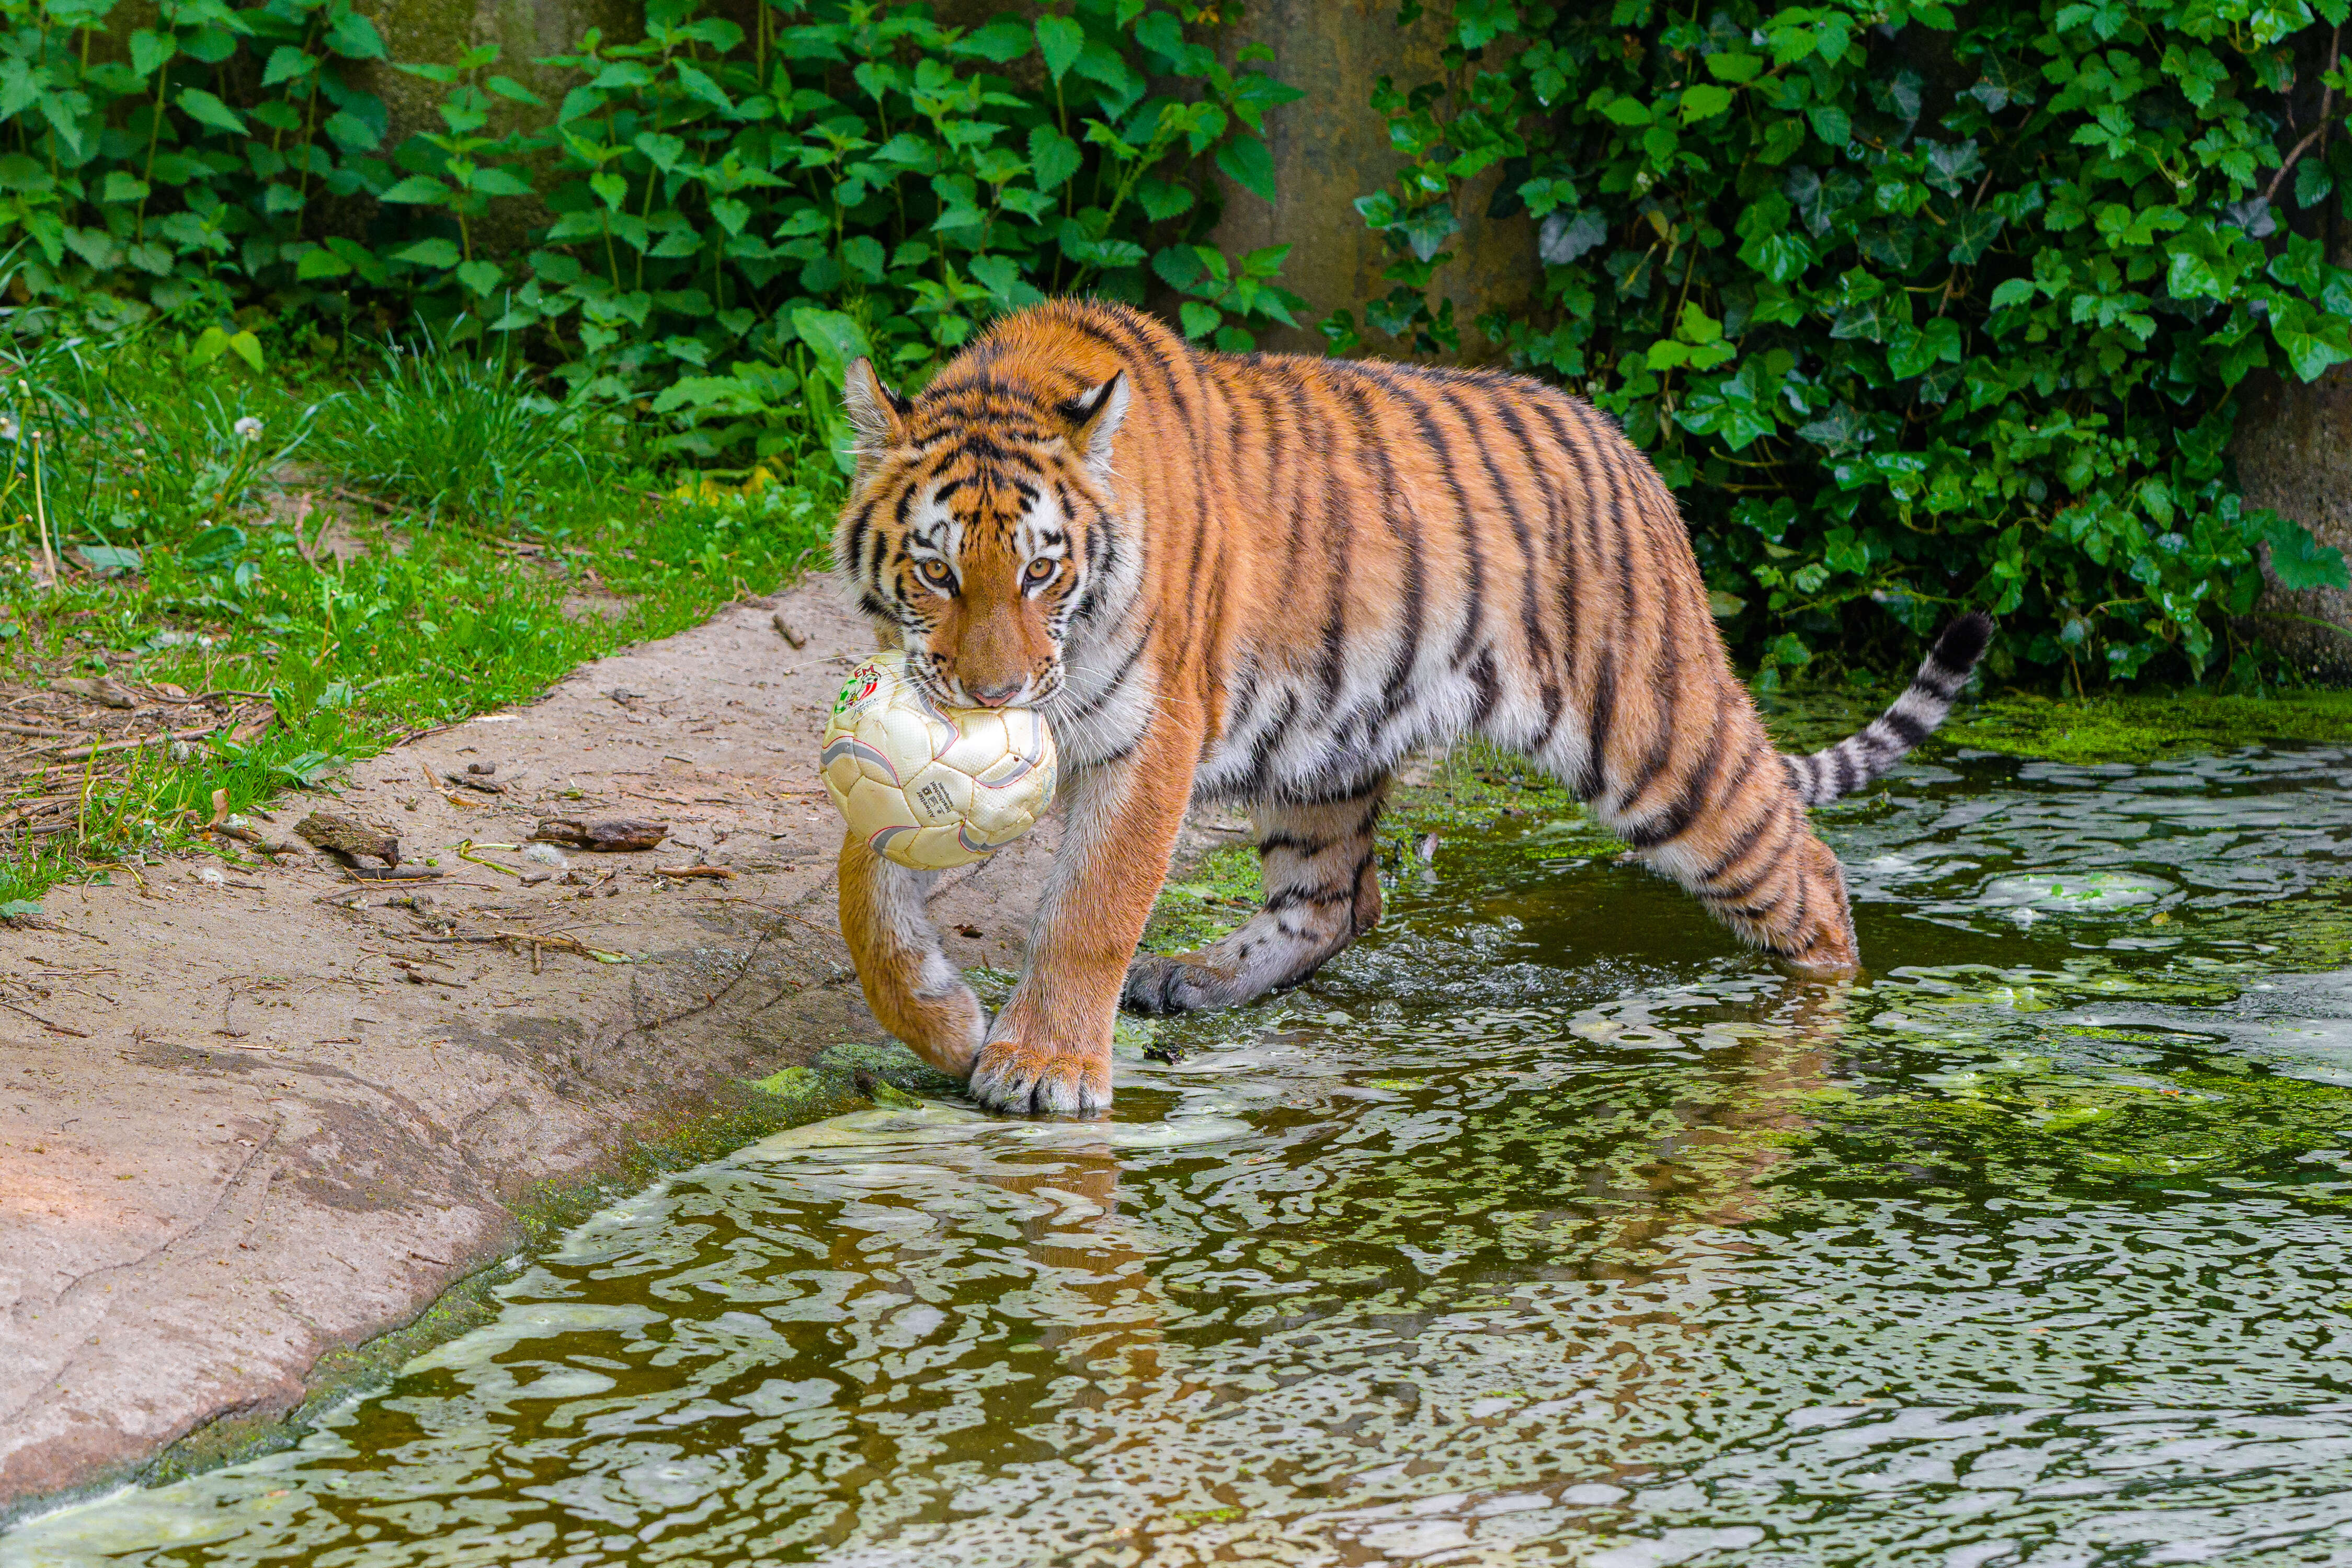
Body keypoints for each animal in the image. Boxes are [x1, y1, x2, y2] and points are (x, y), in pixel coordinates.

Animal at [828, 301, 1985, 1124]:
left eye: (1040, 571)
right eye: (936, 570)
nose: (993, 695)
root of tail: (1633, 458)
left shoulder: (1146, 738)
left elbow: (1089, 908)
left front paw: (1043, 1065)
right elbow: (869, 904)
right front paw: (945, 1025)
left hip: (1655, 741)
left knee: (1804, 867)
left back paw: (1817, 1015)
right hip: (1320, 750)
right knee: (1340, 900)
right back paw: (1195, 977)